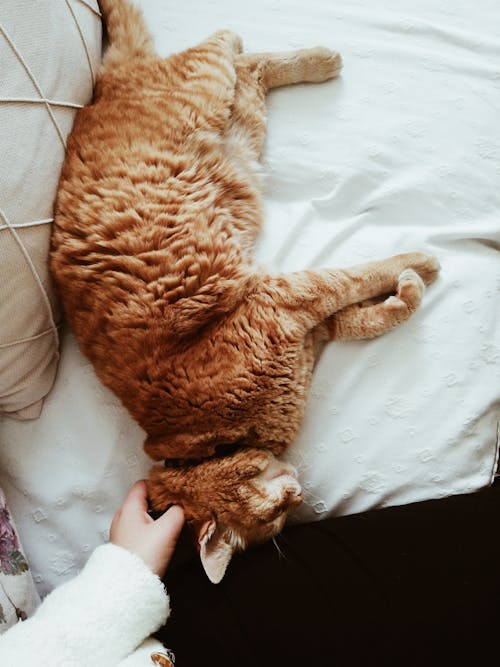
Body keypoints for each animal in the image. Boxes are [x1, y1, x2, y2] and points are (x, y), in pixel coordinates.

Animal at [50, 0, 440, 580]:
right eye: (276, 521)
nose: (300, 494)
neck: (214, 435)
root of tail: (105, 83)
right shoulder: (303, 322)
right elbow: (365, 314)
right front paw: (407, 289)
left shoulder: (287, 299)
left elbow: (358, 275)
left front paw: (420, 264)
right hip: (242, 136)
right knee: (248, 69)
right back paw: (320, 59)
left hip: (206, 97)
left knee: (228, 42)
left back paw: (319, 57)